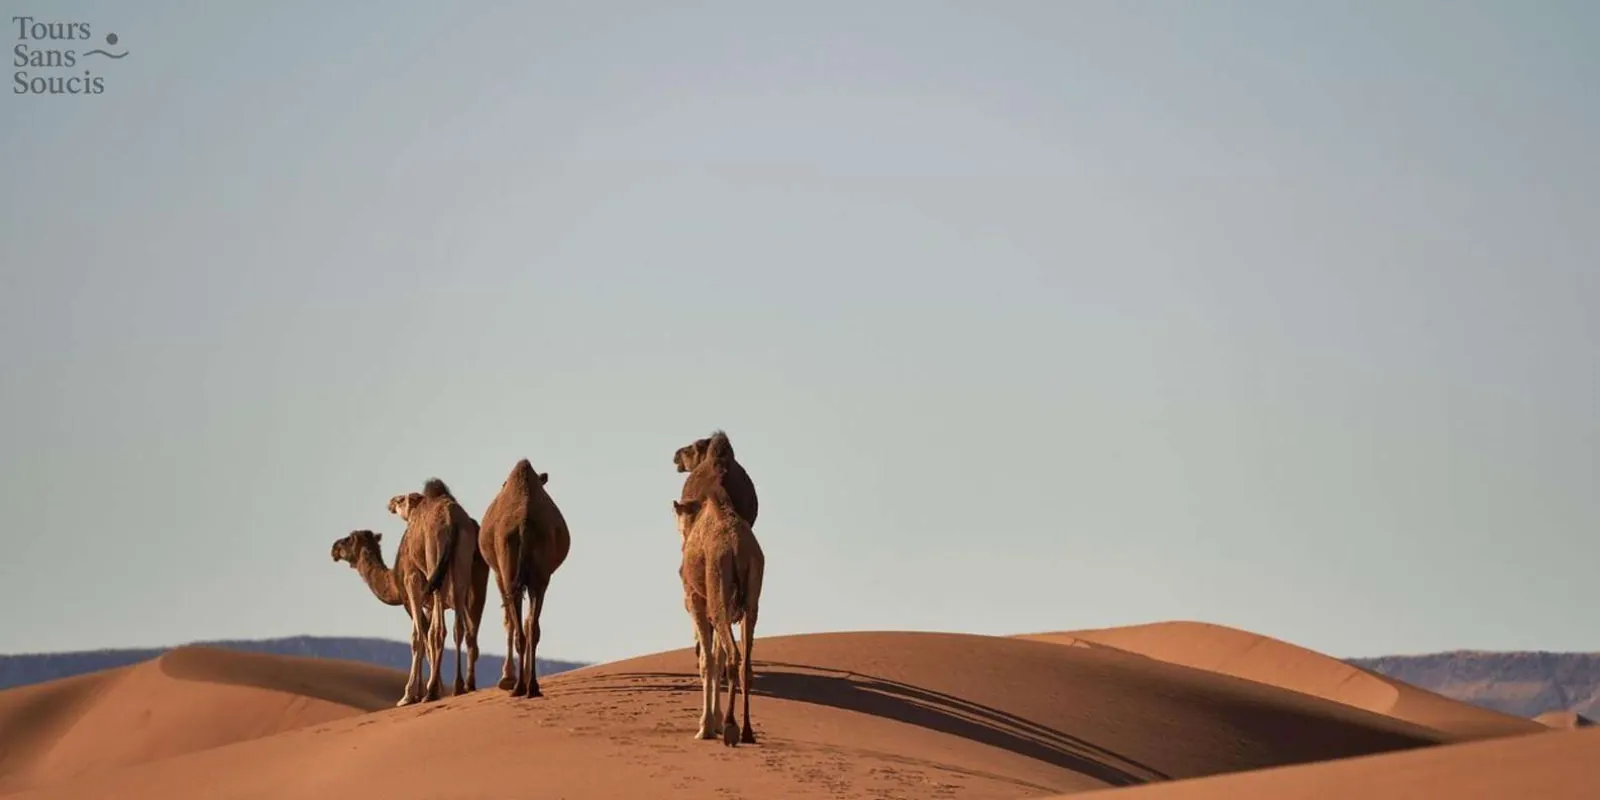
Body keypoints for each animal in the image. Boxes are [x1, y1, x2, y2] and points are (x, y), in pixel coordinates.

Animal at [384, 481, 488, 695]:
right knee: (461, 628)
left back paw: (432, 690)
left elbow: (419, 636)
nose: (390, 502)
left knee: (439, 631)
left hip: (435, 559)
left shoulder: (413, 580)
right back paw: (460, 685)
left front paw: (409, 694)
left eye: (401, 500)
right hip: (462, 567)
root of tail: (452, 521)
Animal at [478, 459, 571, 697]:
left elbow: (509, 621)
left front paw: (506, 678)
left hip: (509, 568)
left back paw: (519, 686)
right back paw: (531, 686)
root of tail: (524, 523)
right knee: (532, 628)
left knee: (520, 626)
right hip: (540, 576)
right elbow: (527, 622)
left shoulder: (499, 574)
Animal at [674, 482, 764, 746]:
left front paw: (706, 727)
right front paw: (714, 721)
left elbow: (708, 661)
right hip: (751, 598)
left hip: (717, 587)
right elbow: (717, 657)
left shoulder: (696, 600)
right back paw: (747, 731)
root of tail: (737, 548)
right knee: (745, 663)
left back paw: (731, 727)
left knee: (733, 656)